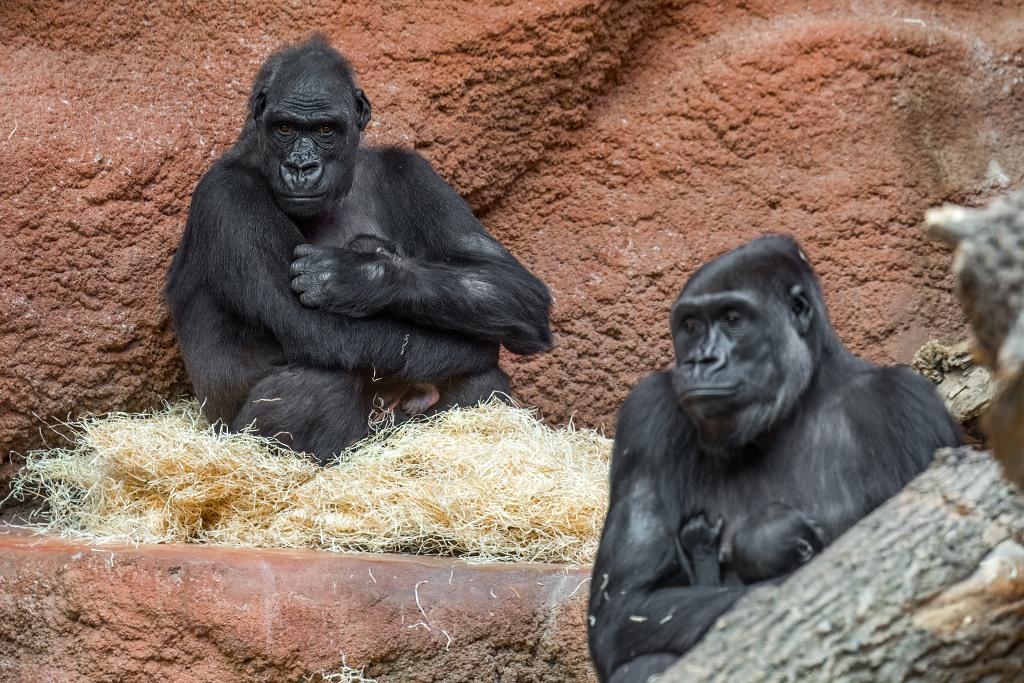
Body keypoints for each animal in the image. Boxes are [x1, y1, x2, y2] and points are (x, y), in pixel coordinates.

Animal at [585, 236, 958, 683]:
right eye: (690, 326)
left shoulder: (909, 405)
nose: (701, 360)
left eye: (733, 319)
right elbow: (625, 606)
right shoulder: (648, 413)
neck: (798, 401)